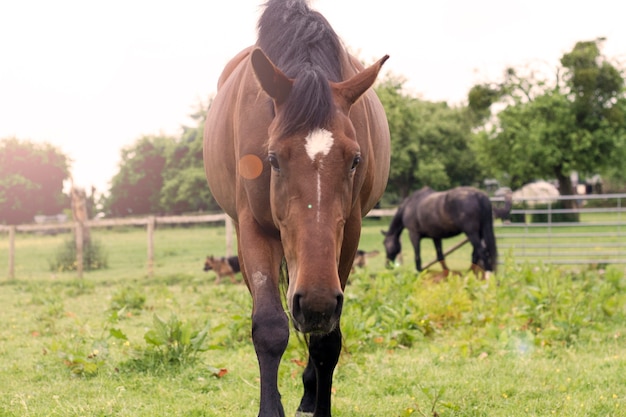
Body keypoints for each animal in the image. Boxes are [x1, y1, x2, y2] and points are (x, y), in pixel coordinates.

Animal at [202, 1, 388, 414]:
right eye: (272, 159)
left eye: (355, 160)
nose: (315, 304)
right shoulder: (254, 228)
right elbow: (270, 326)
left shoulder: (349, 236)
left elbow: (326, 340)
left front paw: (316, 399)